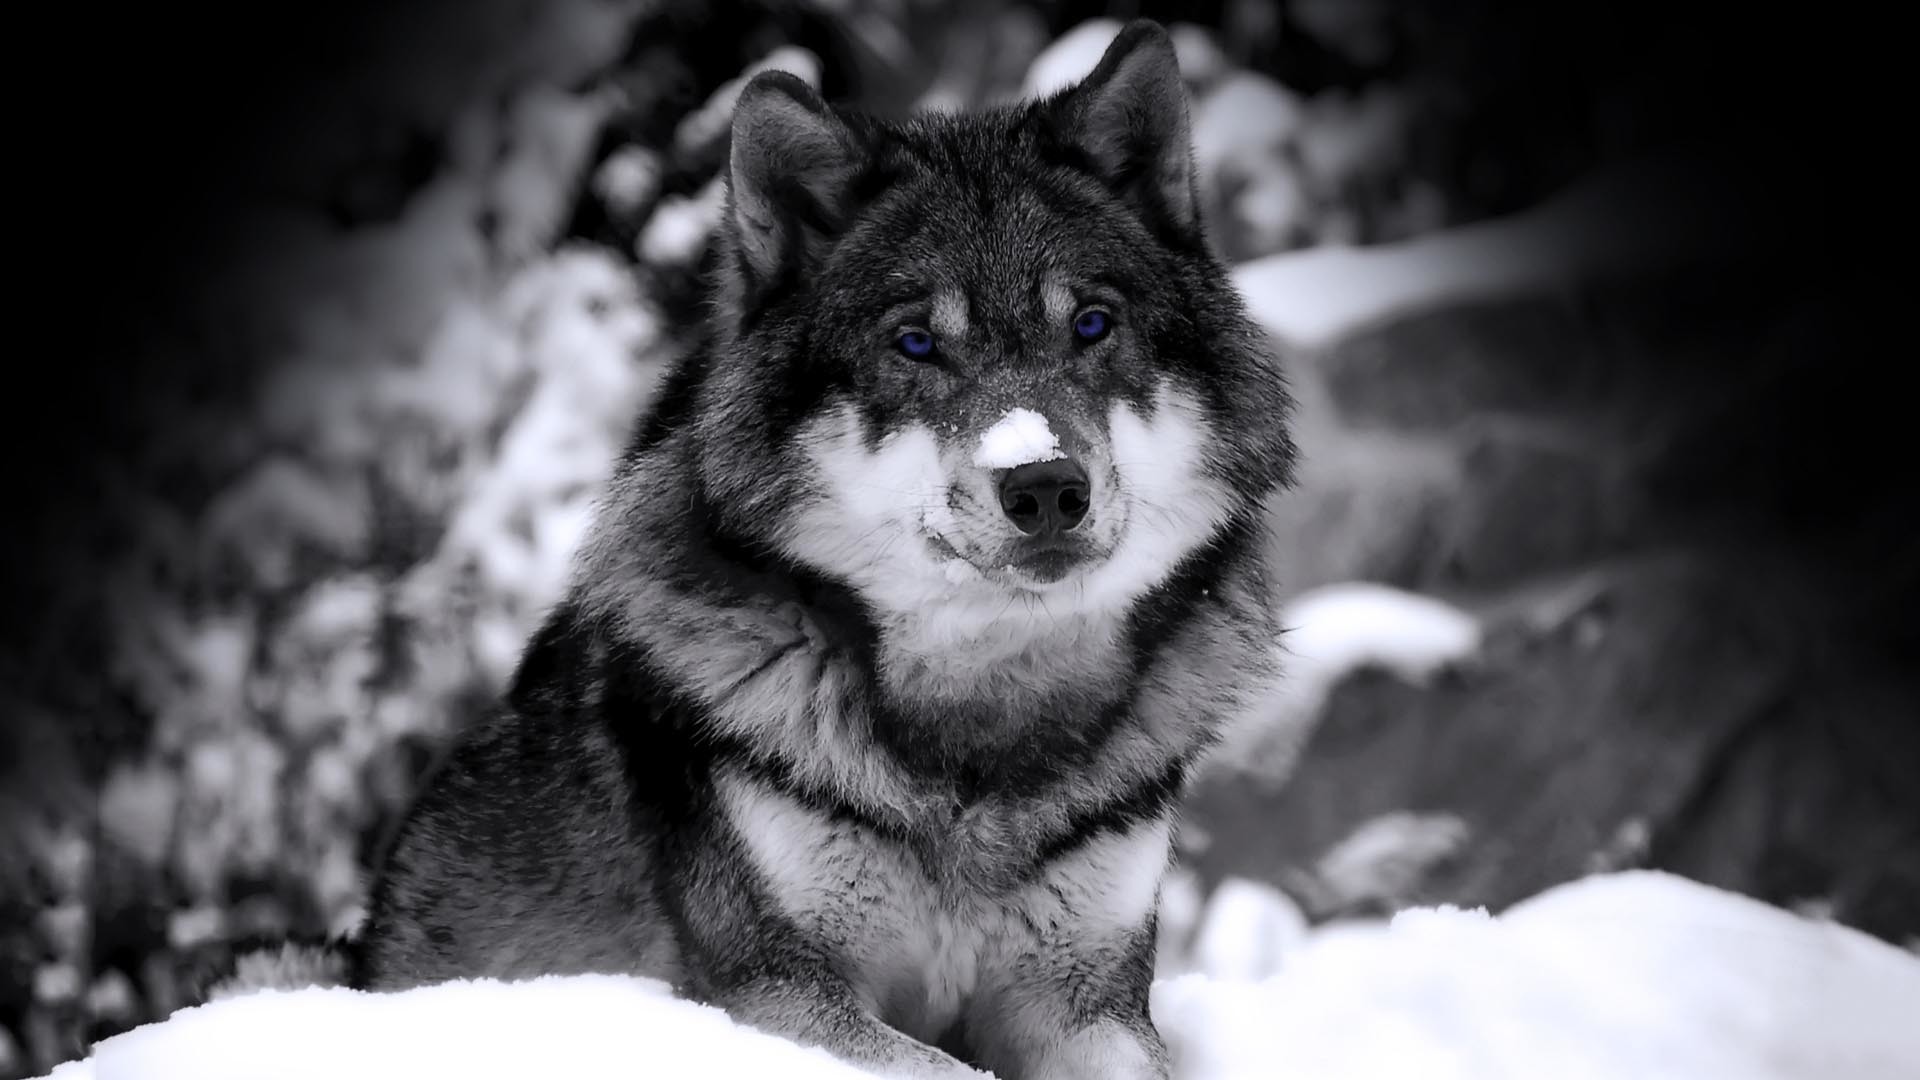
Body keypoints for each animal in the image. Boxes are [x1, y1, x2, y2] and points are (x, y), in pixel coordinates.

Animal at [254, 20, 1297, 1080]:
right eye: (915, 344)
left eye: (1091, 324)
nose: (1043, 485)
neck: (979, 734)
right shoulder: (774, 992)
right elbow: (945, 1069)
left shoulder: (1090, 1002)